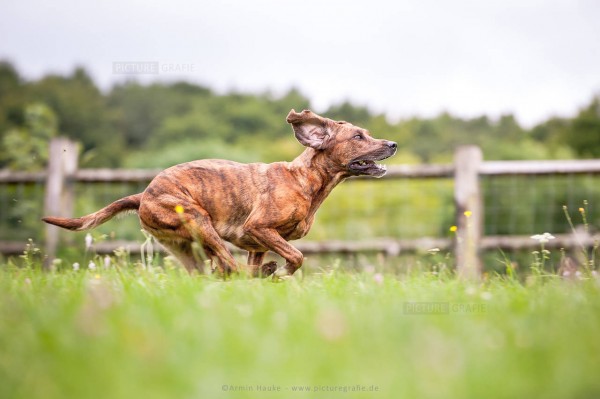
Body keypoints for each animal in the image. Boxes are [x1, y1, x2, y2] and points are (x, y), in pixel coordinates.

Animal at [43, 109, 398, 278]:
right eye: (358, 137)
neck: (305, 181)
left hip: (187, 247)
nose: (393, 144)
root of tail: (143, 195)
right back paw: (258, 274)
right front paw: (280, 273)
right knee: (228, 265)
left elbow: (266, 260)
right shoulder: (259, 228)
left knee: (214, 271)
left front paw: (268, 276)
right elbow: (295, 257)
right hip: (199, 221)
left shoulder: (258, 244)